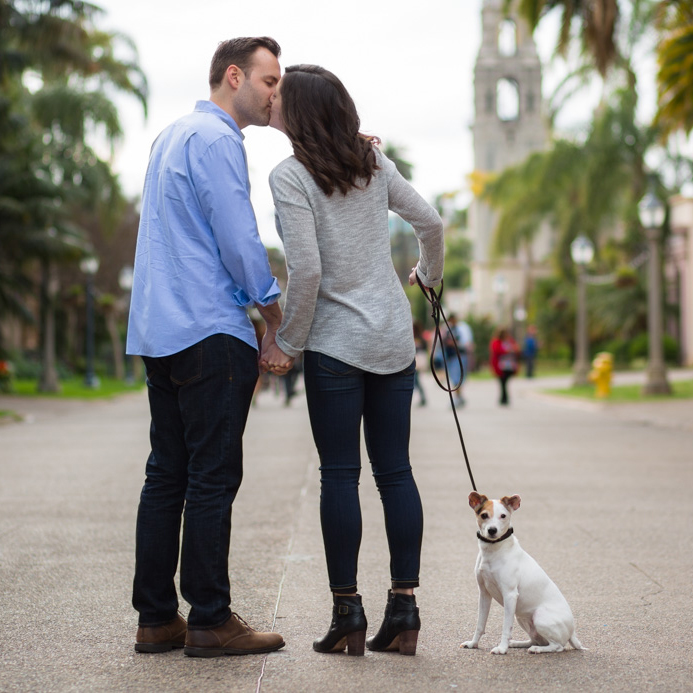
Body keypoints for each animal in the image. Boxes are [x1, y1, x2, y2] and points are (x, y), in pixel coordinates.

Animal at [462, 492, 580, 656]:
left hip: (539, 617)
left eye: (503, 516)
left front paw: (502, 648)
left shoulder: (510, 595)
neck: (494, 551)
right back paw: (517, 643)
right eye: (484, 515)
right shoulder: (484, 594)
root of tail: (572, 631)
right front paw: (473, 644)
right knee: (535, 639)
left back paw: (537, 649)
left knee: (557, 646)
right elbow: (480, 624)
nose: (492, 530)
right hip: (522, 618)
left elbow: (506, 627)